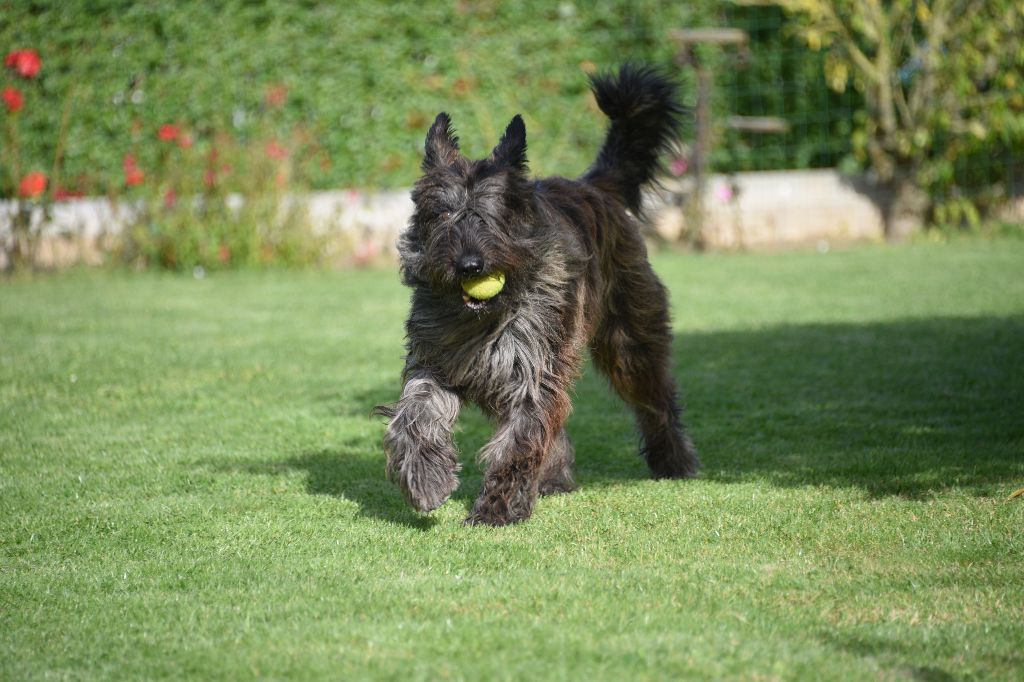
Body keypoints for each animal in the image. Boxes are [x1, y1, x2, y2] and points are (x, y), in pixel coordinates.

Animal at [380, 63, 700, 522]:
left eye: (493, 214)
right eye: (442, 214)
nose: (470, 266)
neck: (487, 316)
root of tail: (594, 186)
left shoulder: (532, 369)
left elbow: (520, 438)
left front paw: (496, 508)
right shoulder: (437, 360)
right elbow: (415, 412)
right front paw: (426, 477)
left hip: (631, 342)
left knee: (655, 403)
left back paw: (673, 462)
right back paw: (553, 478)